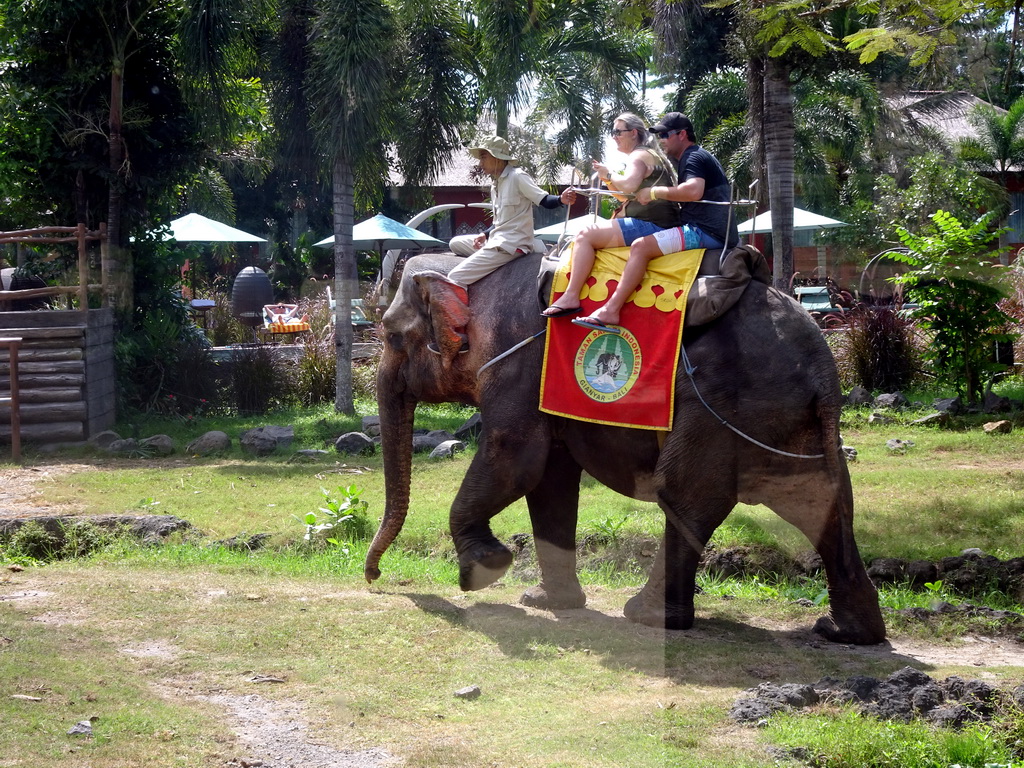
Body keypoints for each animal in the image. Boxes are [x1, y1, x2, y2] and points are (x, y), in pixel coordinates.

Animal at [364, 246, 884, 643]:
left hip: (724, 406)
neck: (469, 270)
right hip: (786, 422)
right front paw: (546, 602)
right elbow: (550, 480)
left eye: (391, 336)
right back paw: (846, 633)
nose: (374, 579)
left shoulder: (519, 364)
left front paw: (486, 570)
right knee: (821, 504)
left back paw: (648, 617)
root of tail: (824, 368)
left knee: (686, 498)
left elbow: (517, 458)